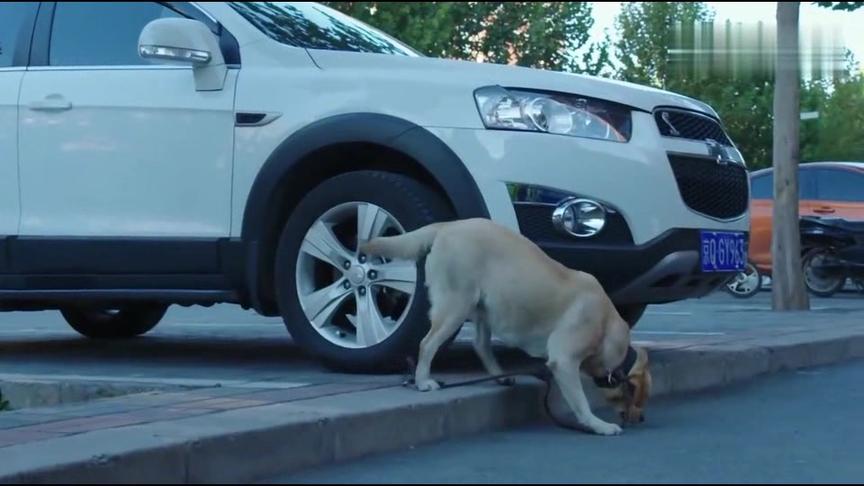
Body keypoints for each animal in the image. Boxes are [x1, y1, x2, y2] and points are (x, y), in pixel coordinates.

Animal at [362, 218, 652, 434]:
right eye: (639, 398)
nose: (641, 419)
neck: (606, 325)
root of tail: (447, 225)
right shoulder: (564, 360)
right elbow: (580, 402)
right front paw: (598, 425)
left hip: (482, 307)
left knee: (480, 344)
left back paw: (499, 375)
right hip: (456, 304)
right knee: (427, 343)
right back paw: (423, 381)